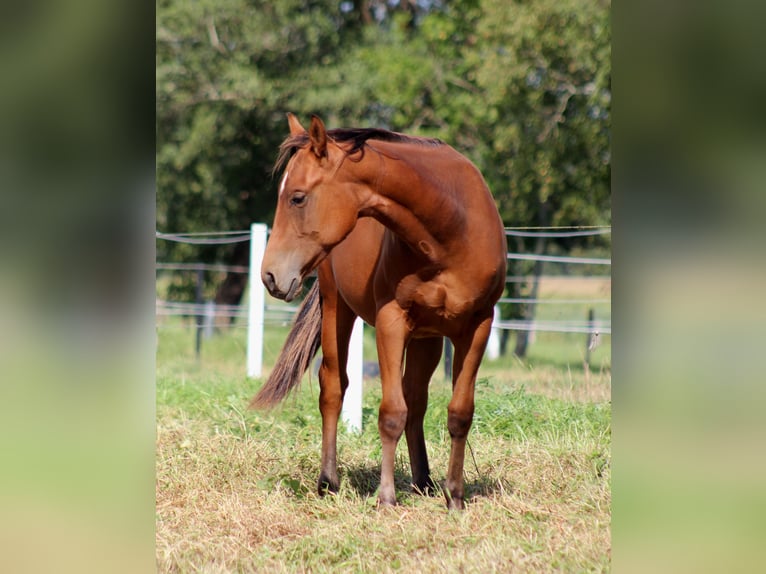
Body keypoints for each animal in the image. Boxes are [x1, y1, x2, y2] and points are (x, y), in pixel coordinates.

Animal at [251, 114, 506, 510]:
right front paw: (386, 497)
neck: (451, 228)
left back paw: (423, 481)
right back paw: (329, 481)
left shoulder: (478, 325)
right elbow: (391, 413)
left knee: (416, 399)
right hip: (337, 307)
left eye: (297, 197)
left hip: (428, 338)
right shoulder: (391, 322)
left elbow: (459, 413)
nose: (270, 275)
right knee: (333, 388)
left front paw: (455, 498)